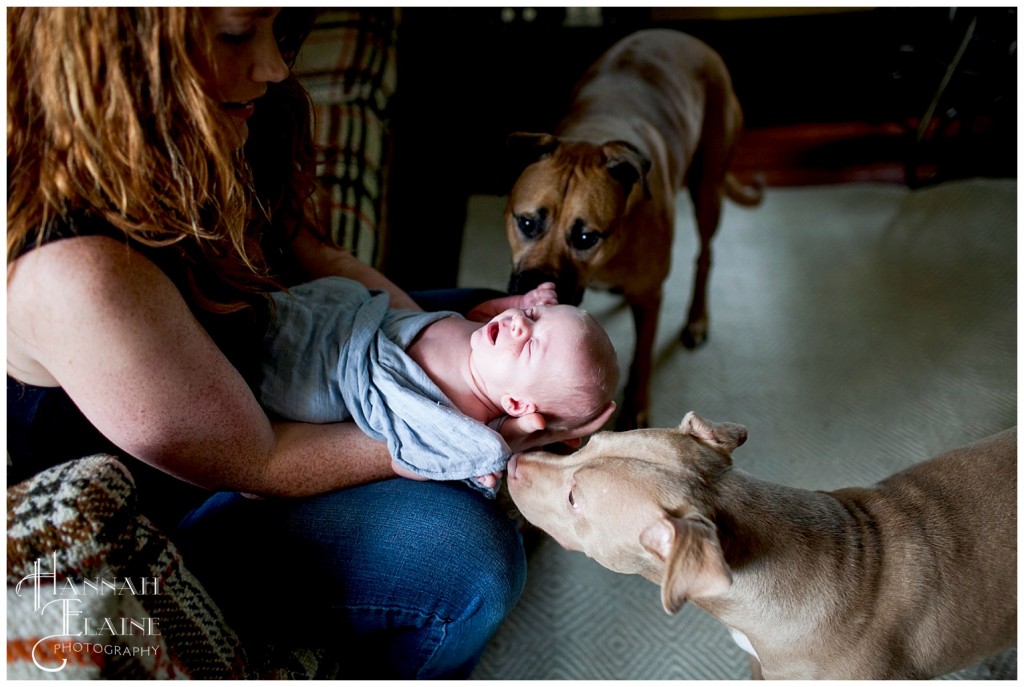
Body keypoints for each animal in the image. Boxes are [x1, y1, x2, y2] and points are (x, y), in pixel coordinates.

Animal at [503, 33, 761, 430]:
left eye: (585, 238)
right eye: (527, 223)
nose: (533, 283)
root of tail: (689, 39)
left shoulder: (650, 297)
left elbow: (641, 356)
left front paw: (635, 408)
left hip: (707, 188)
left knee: (705, 253)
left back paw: (697, 318)